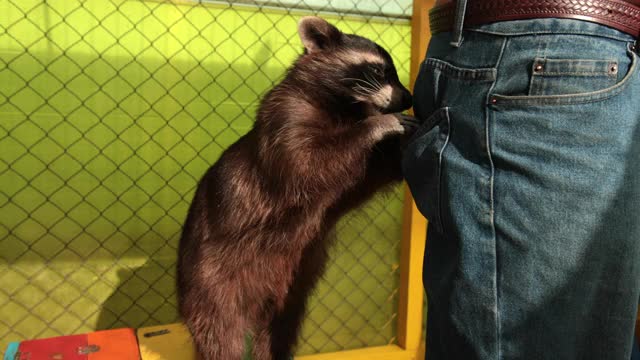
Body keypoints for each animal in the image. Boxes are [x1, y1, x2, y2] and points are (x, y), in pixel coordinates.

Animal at [176, 16, 416, 360]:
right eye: (380, 70)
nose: (408, 99)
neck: (346, 108)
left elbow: (366, 176)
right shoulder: (284, 119)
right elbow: (308, 164)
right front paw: (375, 127)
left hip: (291, 287)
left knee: (278, 330)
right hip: (209, 281)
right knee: (220, 333)